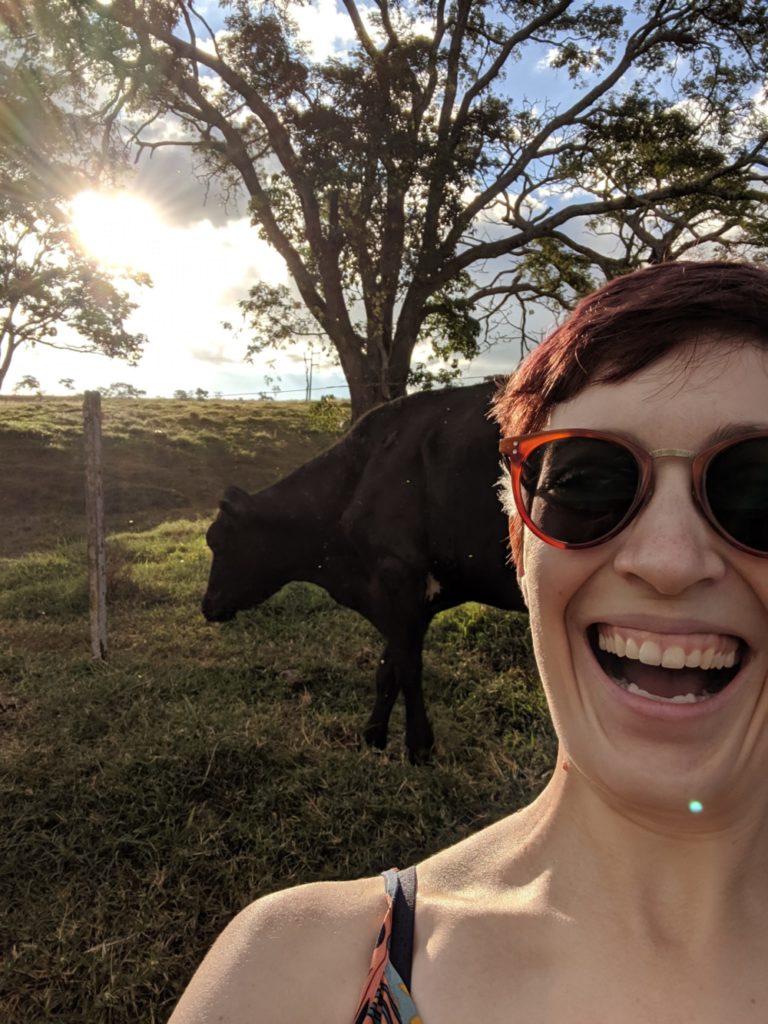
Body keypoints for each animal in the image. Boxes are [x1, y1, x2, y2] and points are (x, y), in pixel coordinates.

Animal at [201, 380, 528, 765]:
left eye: (218, 541)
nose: (207, 605)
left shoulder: (397, 572)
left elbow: (408, 667)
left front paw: (419, 747)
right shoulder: (406, 596)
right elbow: (388, 668)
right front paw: (373, 736)